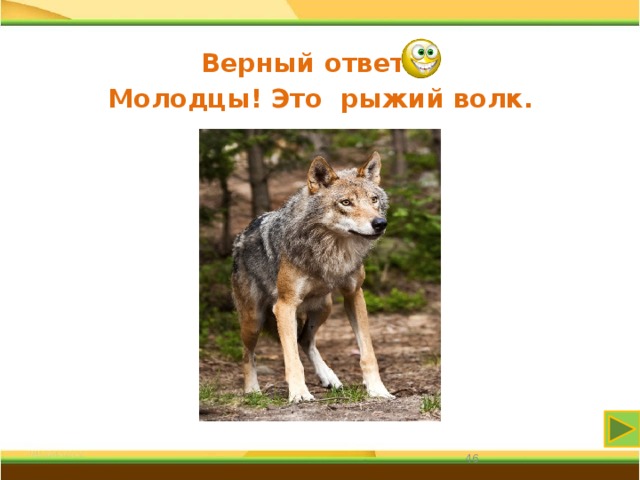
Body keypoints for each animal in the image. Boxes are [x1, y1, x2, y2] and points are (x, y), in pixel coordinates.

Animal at [231, 152, 395, 403]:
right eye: (346, 202)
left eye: (374, 199)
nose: (380, 223)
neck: (332, 249)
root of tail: (239, 238)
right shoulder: (285, 306)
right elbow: (292, 360)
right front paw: (299, 394)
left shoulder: (354, 295)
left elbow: (368, 353)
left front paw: (378, 390)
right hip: (254, 321)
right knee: (247, 353)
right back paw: (252, 390)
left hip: (324, 306)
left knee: (305, 340)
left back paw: (329, 377)